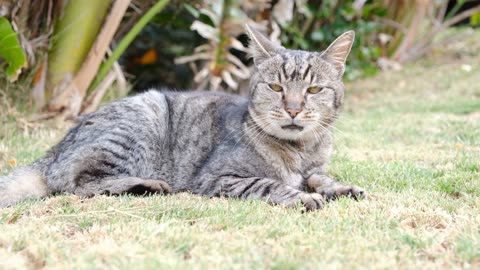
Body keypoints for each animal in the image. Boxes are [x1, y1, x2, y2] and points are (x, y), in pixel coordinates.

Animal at [0, 25, 366, 210]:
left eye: (314, 89)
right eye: (276, 87)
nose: (292, 108)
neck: (301, 149)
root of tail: (55, 150)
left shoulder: (314, 168)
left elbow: (321, 177)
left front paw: (340, 187)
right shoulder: (219, 177)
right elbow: (271, 184)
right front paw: (304, 197)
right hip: (142, 120)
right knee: (79, 184)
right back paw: (148, 185)